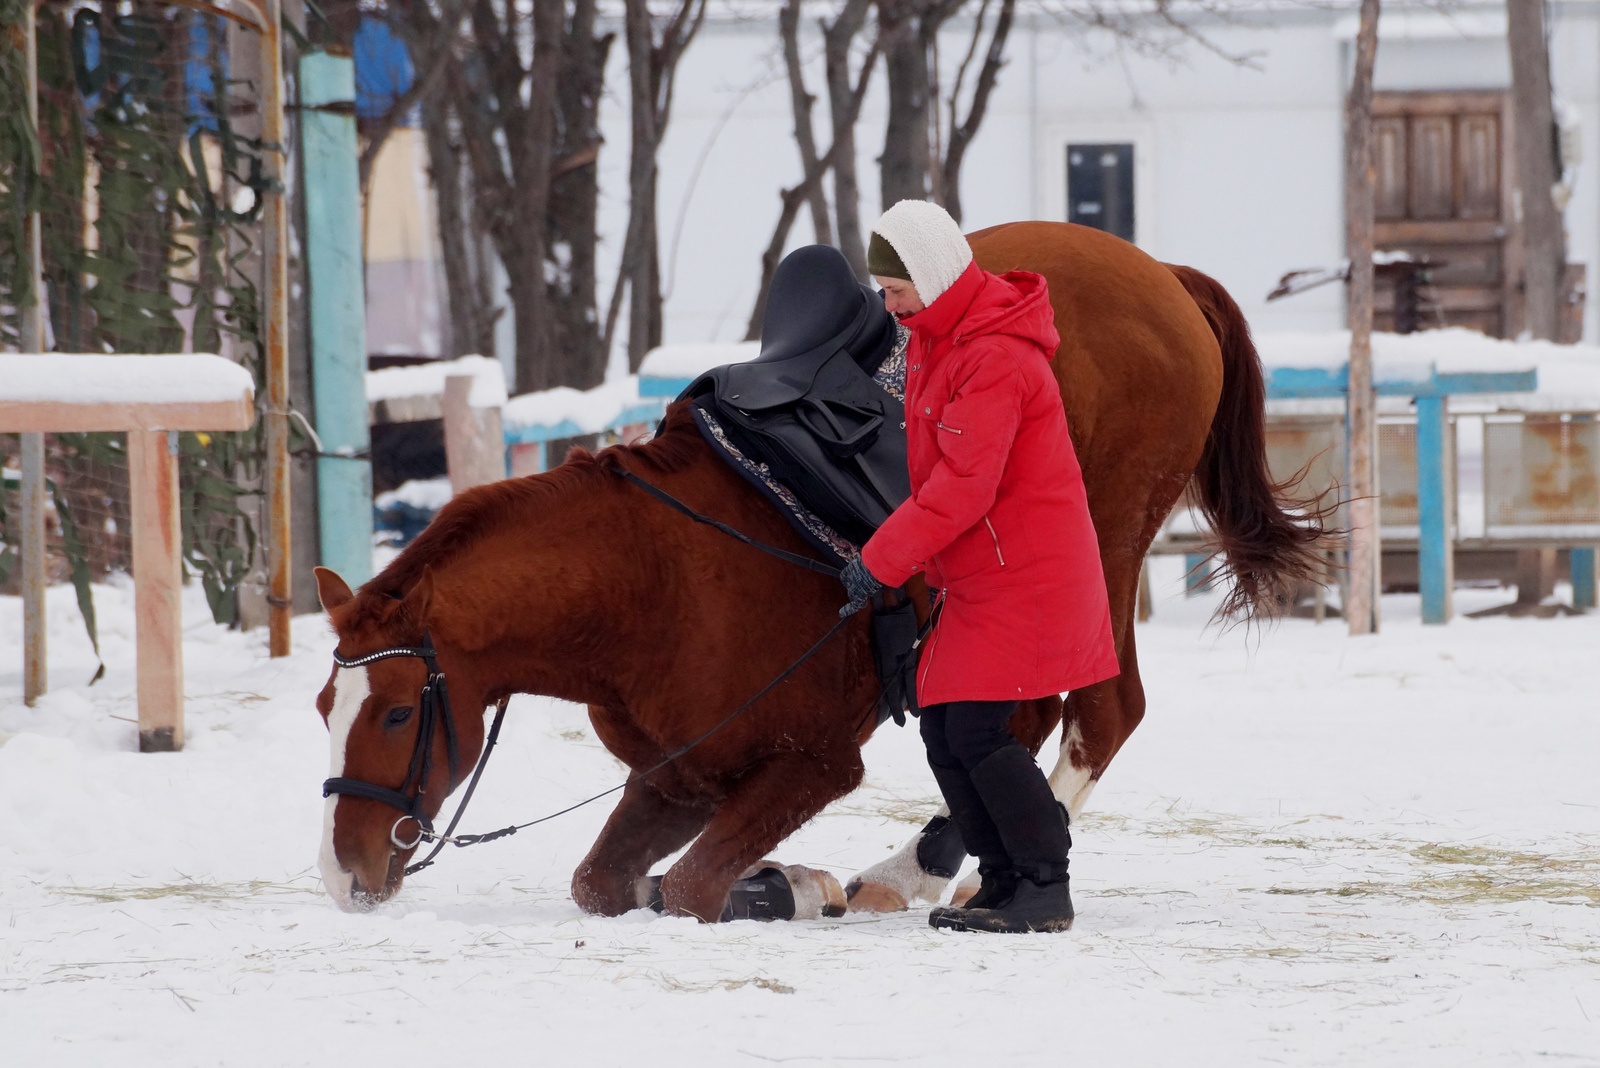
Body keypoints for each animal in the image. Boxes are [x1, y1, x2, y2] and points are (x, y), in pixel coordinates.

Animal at [315, 223, 1324, 920]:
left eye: (397, 711)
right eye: (326, 706)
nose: (344, 873)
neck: (653, 581)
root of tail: (1161, 275)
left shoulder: (812, 761)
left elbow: (688, 887)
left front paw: (787, 883)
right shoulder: (681, 775)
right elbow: (607, 882)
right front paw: (783, 882)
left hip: (1101, 551)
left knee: (1099, 710)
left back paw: (935, 876)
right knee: (1025, 712)